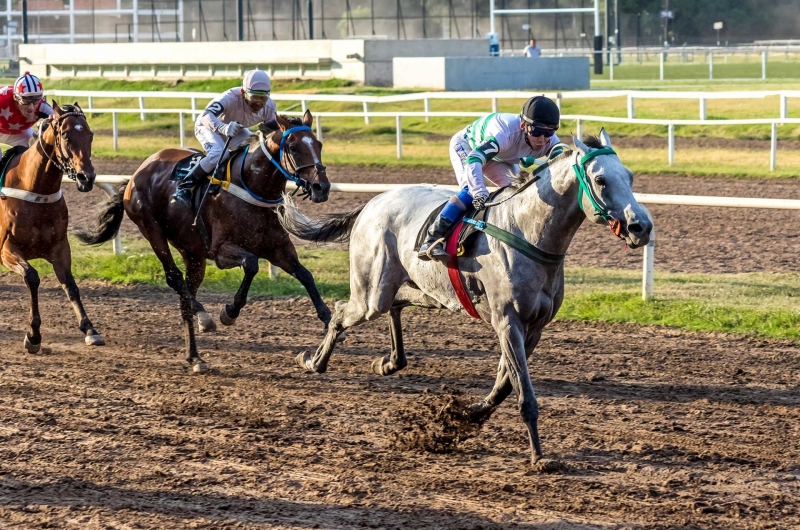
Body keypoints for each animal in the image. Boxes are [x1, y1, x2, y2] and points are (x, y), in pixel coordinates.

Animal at [0, 101, 104, 352]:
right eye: (65, 135)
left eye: (90, 134)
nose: (87, 178)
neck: (35, 189)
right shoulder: (6, 249)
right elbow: (32, 277)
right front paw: (33, 335)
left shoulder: (60, 247)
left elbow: (70, 285)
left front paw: (90, 329)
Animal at [77, 109, 332, 370]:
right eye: (292, 147)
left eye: (319, 144)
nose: (321, 187)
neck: (252, 187)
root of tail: (135, 175)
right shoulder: (221, 250)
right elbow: (251, 264)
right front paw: (229, 311)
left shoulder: (279, 249)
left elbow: (305, 275)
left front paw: (329, 324)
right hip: (152, 229)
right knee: (175, 278)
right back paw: (204, 318)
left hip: (192, 250)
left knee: (187, 291)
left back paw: (195, 356)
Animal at [278, 130, 652, 464]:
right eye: (601, 180)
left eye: (630, 176)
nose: (642, 227)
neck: (528, 232)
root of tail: (370, 204)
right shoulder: (507, 322)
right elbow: (524, 394)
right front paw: (539, 456)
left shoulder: (533, 327)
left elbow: (505, 385)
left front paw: (466, 415)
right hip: (371, 293)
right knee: (342, 312)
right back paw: (313, 361)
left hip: (416, 289)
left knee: (395, 306)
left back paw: (389, 362)